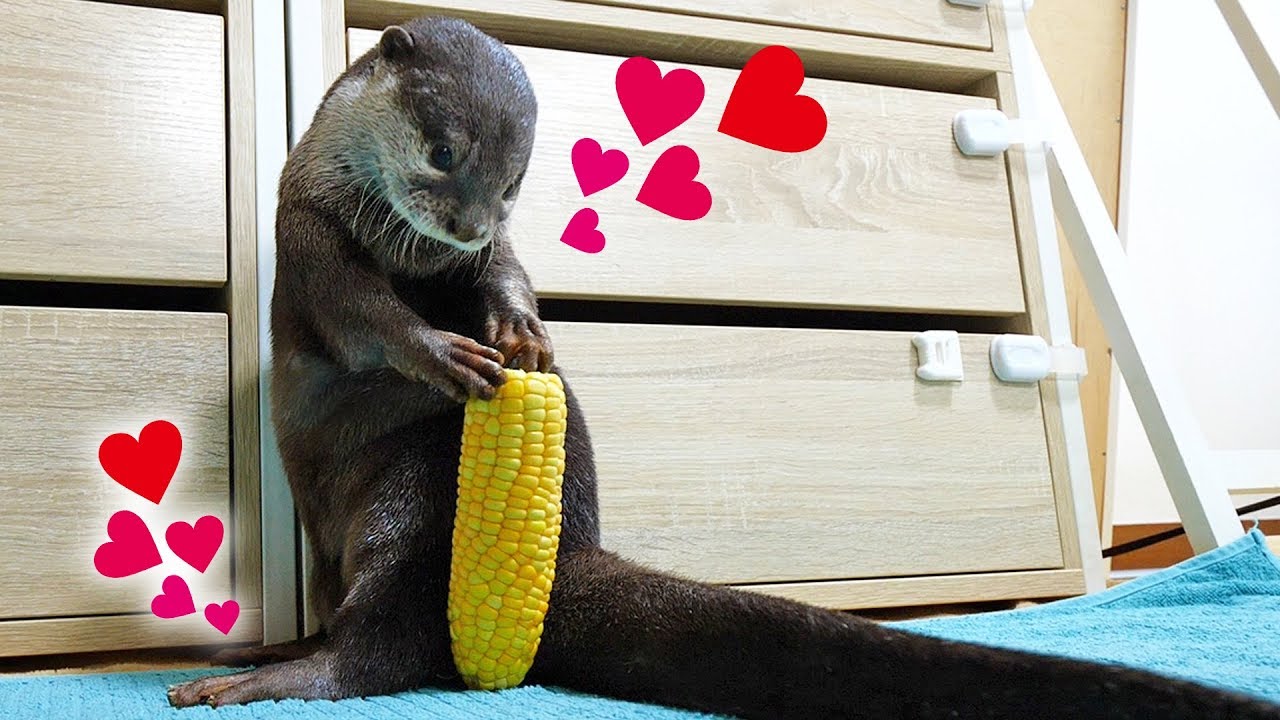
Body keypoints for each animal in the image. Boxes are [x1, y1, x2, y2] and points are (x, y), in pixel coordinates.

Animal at [167, 16, 1280, 720]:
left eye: (515, 178)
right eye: (442, 150)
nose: (470, 222)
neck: (404, 246)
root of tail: (565, 557)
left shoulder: (467, 255)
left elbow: (509, 277)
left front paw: (525, 333)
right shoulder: (307, 225)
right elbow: (363, 319)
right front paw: (448, 351)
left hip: (410, 512)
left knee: (384, 652)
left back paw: (262, 676)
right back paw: (262, 660)